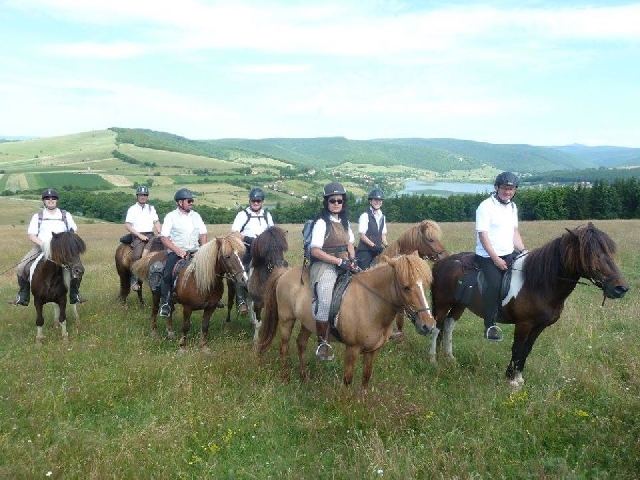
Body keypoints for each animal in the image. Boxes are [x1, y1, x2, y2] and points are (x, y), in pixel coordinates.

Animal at [430, 224, 632, 386]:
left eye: (610, 252)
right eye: (592, 255)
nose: (621, 288)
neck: (539, 282)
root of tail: (442, 262)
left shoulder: (539, 326)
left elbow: (526, 349)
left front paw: (518, 377)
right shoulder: (524, 324)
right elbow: (517, 348)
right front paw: (511, 380)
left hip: (459, 304)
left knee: (448, 326)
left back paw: (450, 358)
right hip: (442, 304)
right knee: (436, 328)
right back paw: (432, 359)